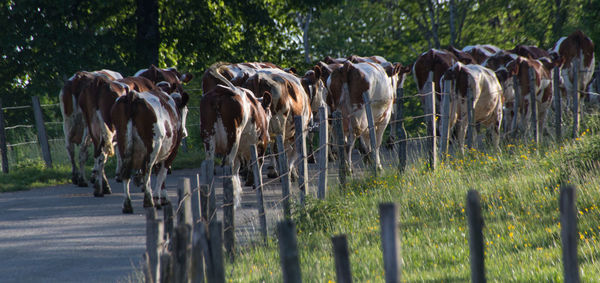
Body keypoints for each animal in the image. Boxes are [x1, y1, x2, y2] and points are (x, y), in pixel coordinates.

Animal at [200, 72, 270, 206]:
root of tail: (219, 92)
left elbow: (237, 168)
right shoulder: (260, 145)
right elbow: (257, 166)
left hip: (208, 137)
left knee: (210, 164)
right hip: (233, 137)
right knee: (228, 163)